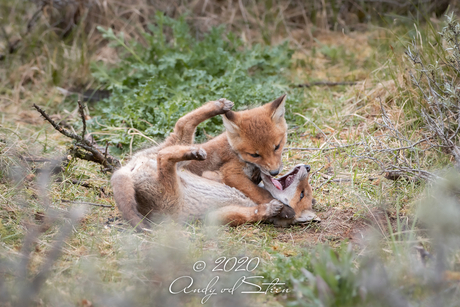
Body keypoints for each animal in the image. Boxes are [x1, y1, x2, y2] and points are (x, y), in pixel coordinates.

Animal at [112, 97, 320, 230]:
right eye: (302, 193)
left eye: (277, 146)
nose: (307, 168)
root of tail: (126, 168)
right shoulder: (231, 172)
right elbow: (258, 199)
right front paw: (277, 207)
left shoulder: (218, 211)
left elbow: (252, 211)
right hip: (170, 191)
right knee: (166, 152)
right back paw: (217, 112)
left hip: (177, 147)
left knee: (179, 128)